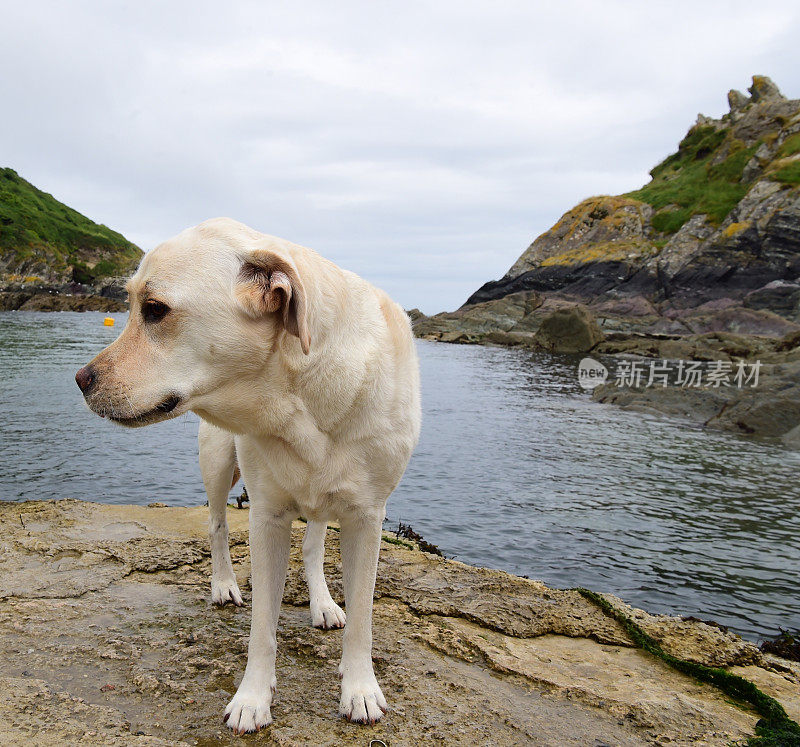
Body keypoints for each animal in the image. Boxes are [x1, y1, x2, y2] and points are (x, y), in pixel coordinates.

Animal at [77, 219, 422, 732]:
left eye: (155, 309)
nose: (81, 380)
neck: (301, 397)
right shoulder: (267, 518)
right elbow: (263, 625)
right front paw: (253, 698)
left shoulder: (367, 517)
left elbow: (362, 617)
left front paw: (359, 689)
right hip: (218, 461)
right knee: (217, 524)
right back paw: (223, 584)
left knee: (313, 545)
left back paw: (323, 603)